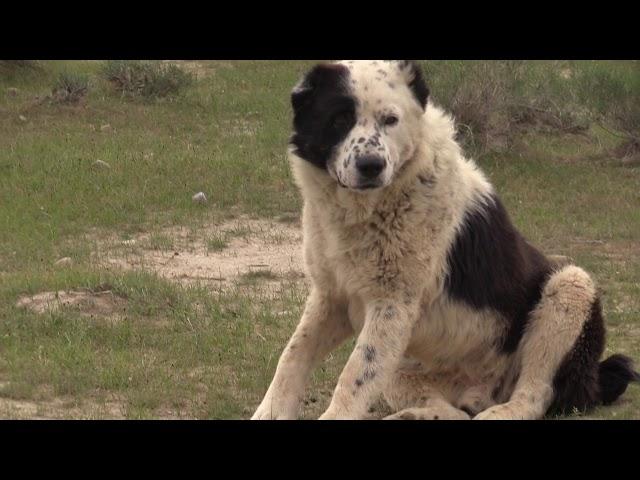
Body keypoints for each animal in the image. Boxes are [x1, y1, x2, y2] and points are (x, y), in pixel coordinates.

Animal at [252, 61, 636, 420]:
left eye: (390, 120)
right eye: (340, 118)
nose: (371, 165)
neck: (369, 209)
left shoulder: (392, 307)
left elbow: (354, 375)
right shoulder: (332, 299)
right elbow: (292, 357)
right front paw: (268, 411)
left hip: (569, 285)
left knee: (534, 395)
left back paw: (500, 411)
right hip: (403, 368)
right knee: (454, 411)